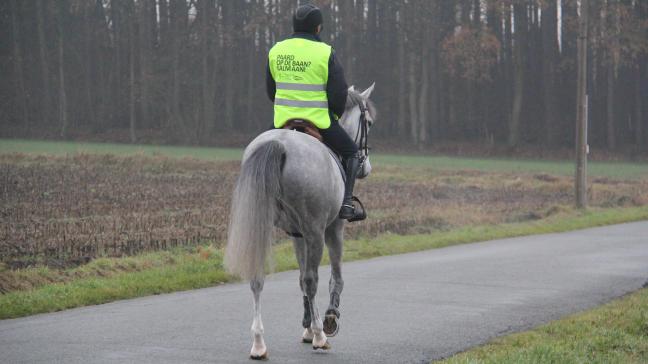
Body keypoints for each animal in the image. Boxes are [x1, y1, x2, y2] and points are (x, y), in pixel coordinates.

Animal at [227, 84, 374, 360]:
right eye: (368, 122)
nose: (366, 168)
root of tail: (280, 144)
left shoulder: (297, 235)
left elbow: (300, 279)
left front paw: (306, 326)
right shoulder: (332, 228)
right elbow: (334, 277)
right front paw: (329, 319)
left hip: (263, 224)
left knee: (258, 277)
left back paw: (259, 344)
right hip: (316, 231)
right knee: (312, 280)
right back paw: (319, 336)